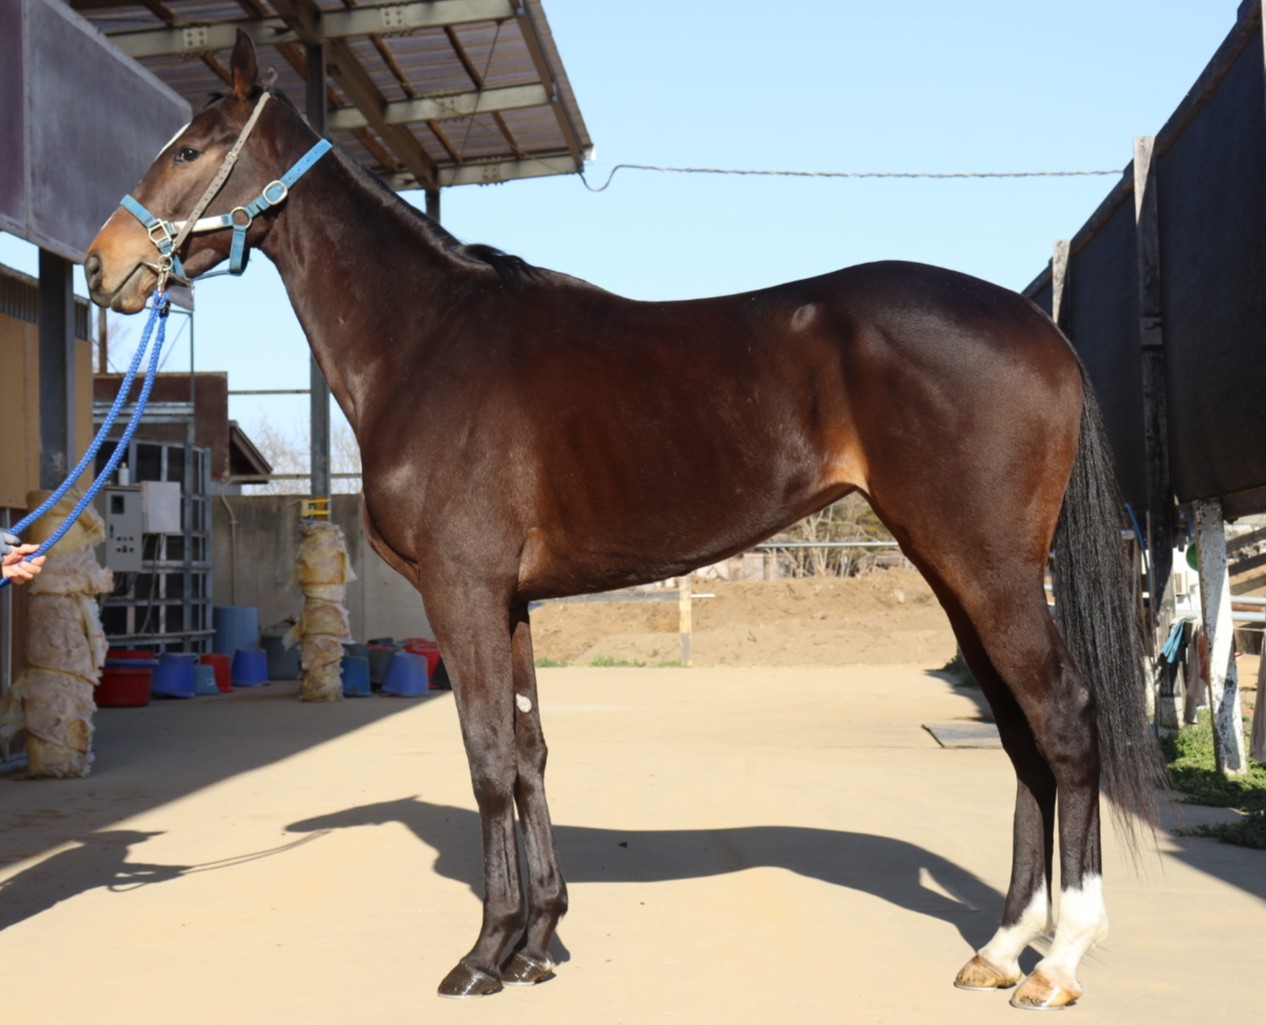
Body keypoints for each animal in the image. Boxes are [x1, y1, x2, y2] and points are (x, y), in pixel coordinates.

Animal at [85, 30, 1162, 1010]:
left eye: (189, 148)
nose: (103, 265)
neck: (428, 340)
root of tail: (1039, 327)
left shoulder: (462, 590)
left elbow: (486, 758)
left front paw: (484, 953)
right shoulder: (508, 600)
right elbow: (528, 755)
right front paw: (538, 942)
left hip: (990, 570)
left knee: (1066, 720)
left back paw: (1060, 959)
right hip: (956, 573)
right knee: (1022, 736)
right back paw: (1001, 946)